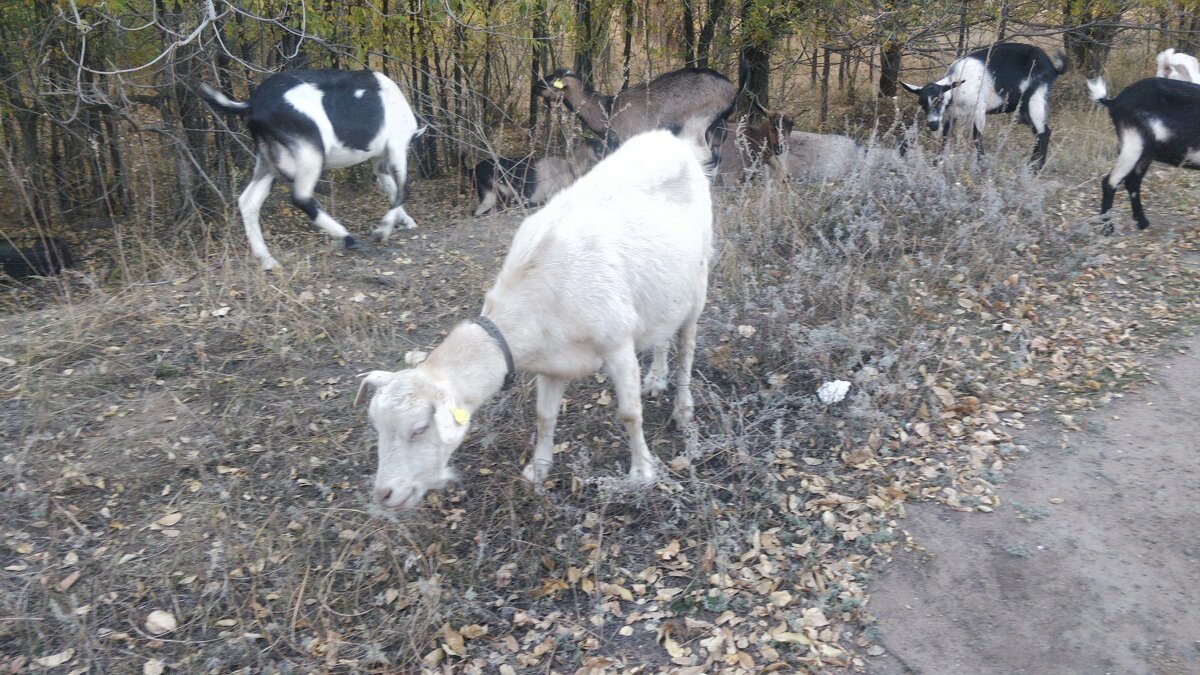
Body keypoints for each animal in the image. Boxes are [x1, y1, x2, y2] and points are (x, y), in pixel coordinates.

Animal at [204, 69, 429, 267]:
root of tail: (252, 104)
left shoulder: (379, 160)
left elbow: (391, 188)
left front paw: (407, 222)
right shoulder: (397, 146)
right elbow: (402, 190)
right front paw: (383, 231)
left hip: (269, 160)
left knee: (248, 201)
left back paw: (268, 261)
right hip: (310, 153)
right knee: (301, 197)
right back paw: (348, 238)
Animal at [355, 131, 710, 506]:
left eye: (419, 429)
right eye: (377, 427)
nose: (384, 493)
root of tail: (672, 139)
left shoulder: (617, 345)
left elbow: (630, 413)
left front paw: (642, 472)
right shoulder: (551, 362)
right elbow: (544, 416)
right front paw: (538, 469)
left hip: (698, 281)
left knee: (687, 346)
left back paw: (683, 409)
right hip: (664, 290)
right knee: (663, 332)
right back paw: (656, 378)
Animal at [537, 65, 739, 165]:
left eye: (552, 80)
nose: (535, 86)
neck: (607, 110)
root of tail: (732, 90)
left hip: (695, 124)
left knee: (704, 157)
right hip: (716, 128)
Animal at [902, 42, 1070, 170]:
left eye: (939, 98)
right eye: (921, 103)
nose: (932, 124)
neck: (956, 85)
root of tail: (1053, 68)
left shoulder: (979, 110)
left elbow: (976, 137)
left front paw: (982, 165)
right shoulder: (951, 115)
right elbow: (945, 138)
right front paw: (937, 163)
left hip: (1035, 99)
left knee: (1044, 132)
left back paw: (1035, 169)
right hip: (1026, 108)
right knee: (1038, 133)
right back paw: (1032, 166)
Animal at [1089, 76, 1200, 233]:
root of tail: (1115, 101)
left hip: (1145, 153)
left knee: (1132, 182)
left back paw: (1142, 222)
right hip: (1133, 146)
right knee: (1110, 182)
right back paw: (1107, 228)